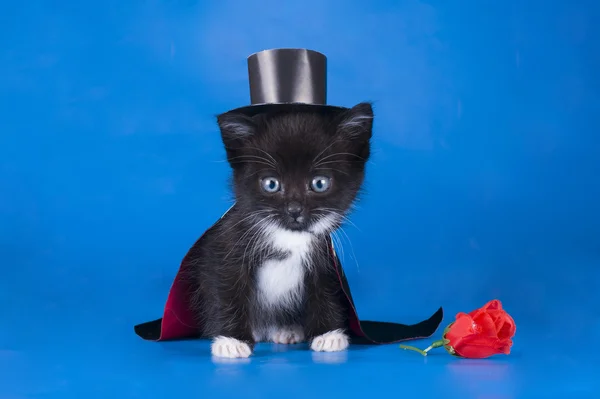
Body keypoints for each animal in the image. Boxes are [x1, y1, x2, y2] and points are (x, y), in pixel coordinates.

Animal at [190, 102, 372, 360]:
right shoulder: (227, 245)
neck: (287, 237)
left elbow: (325, 288)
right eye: (271, 184)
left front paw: (328, 335)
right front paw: (231, 341)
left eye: (319, 183)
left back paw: (287, 330)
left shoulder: (324, 257)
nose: (294, 209)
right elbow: (227, 288)